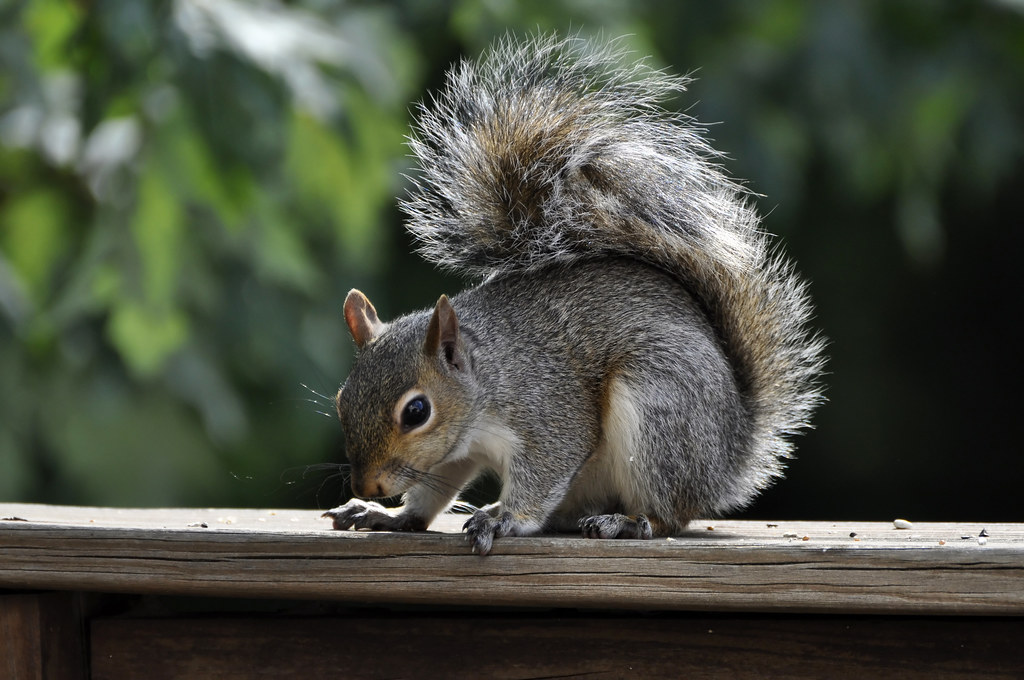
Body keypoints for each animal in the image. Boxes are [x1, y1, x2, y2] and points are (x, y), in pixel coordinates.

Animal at [323, 34, 826, 555]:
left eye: (417, 411)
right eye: (341, 400)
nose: (367, 485)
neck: (486, 379)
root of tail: (729, 458)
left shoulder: (548, 411)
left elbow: (548, 466)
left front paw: (508, 521)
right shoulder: (456, 450)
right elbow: (435, 489)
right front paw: (392, 515)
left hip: (659, 408)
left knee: (669, 513)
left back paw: (626, 522)